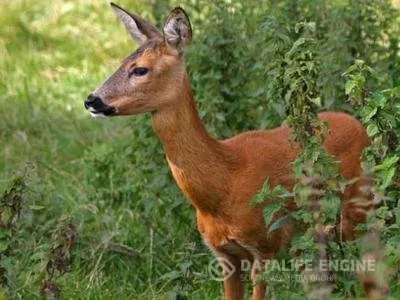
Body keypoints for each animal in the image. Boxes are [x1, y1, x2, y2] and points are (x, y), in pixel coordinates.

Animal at [84, 2, 372, 300]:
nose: (92, 100)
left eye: (140, 69)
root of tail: (360, 126)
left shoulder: (266, 244)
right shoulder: (224, 253)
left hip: (357, 209)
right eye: (121, 62)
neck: (224, 182)